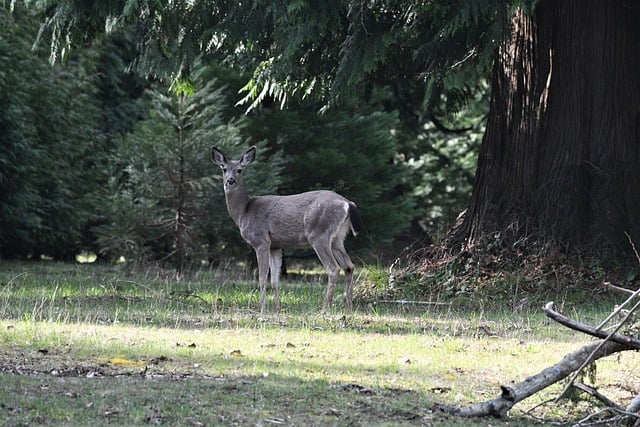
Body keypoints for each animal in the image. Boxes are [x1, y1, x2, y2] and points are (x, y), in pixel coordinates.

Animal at [210, 147, 360, 314]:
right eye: (224, 169)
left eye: (239, 170)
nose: (230, 180)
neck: (244, 211)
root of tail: (347, 203)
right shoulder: (276, 245)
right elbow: (275, 279)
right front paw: (277, 309)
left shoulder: (261, 240)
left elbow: (262, 277)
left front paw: (262, 310)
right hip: (338, 238)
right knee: (349, 266)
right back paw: (348, 309)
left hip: (318, 234)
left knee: (333, 268)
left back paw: (325, 310)